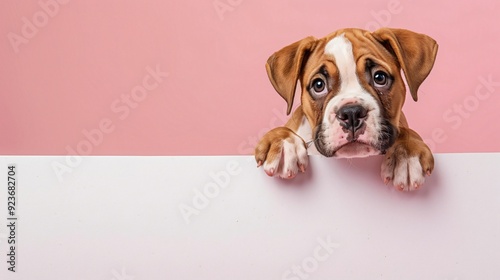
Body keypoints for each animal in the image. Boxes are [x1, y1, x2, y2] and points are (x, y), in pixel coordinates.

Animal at [254, 27, 438, 190]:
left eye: (380, 77)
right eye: (318, 85)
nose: (351, 113)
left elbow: (407, 131)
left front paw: (406, 152)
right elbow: (283, 130)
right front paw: (282, 142)